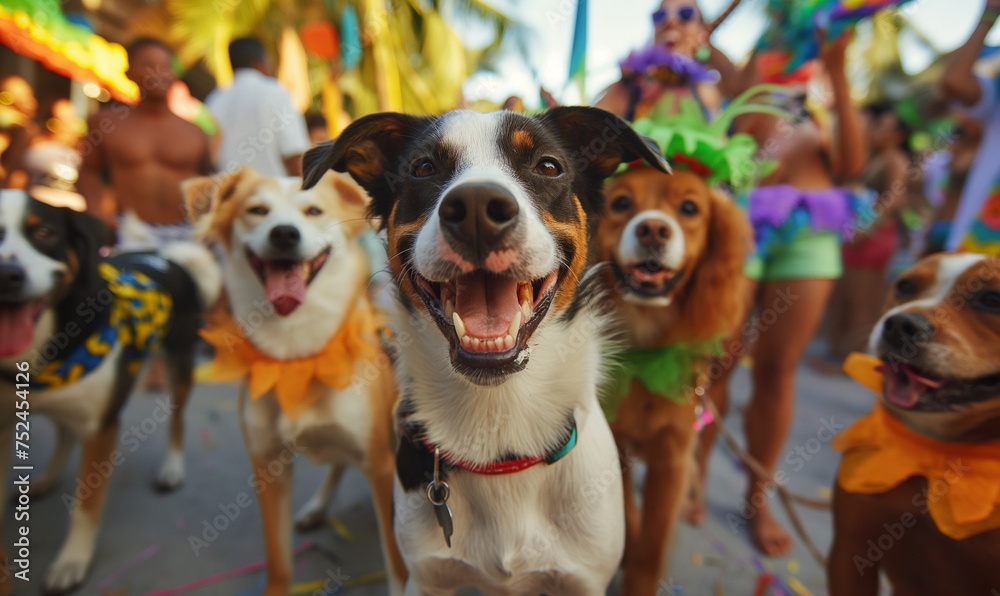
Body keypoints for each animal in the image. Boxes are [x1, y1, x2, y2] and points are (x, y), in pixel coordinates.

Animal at [0, 191, 218, 592]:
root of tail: (165, 256)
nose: (7, 275)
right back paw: (46, 479)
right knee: (64, 431)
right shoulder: (3, 427)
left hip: (180, 361)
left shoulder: (102, 428)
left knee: (177, 418)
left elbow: (86, 505)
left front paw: (73, 561)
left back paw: (171, 468)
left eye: (44, 233)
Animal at [186, 169, 404, 596]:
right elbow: (278, 561)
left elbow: (397, 563)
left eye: (314, 211)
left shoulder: (382, 464)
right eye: (257, 210)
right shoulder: (267, 466)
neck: (297, 354)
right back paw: (318, 507)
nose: (284, 234)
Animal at [300, 108, 668, 596]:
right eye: (423, 168)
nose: (476, 208)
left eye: (548, 166)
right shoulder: (426, 578)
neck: (498, 432)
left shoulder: (584, 580)